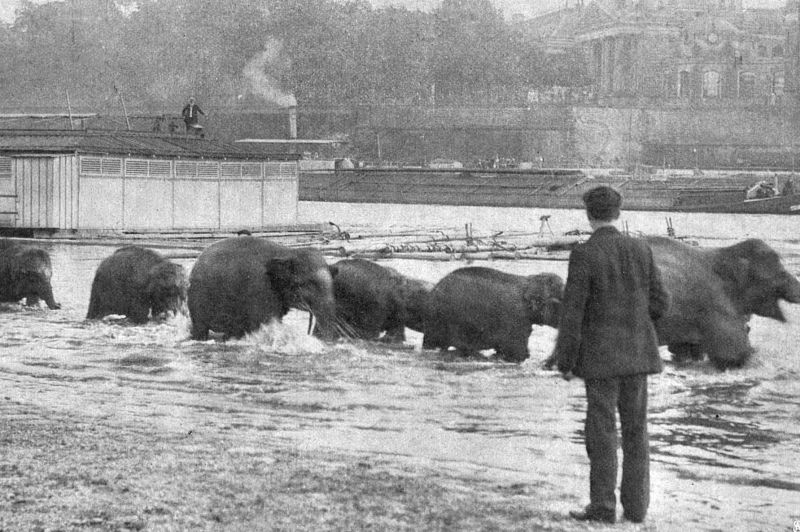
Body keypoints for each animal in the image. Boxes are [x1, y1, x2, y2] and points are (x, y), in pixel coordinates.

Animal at [189, 237, 340, 340]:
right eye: (304, 284)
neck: (287, 252)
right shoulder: (260, 287)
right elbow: (265, 322)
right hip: (198, 299)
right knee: (200, 328)